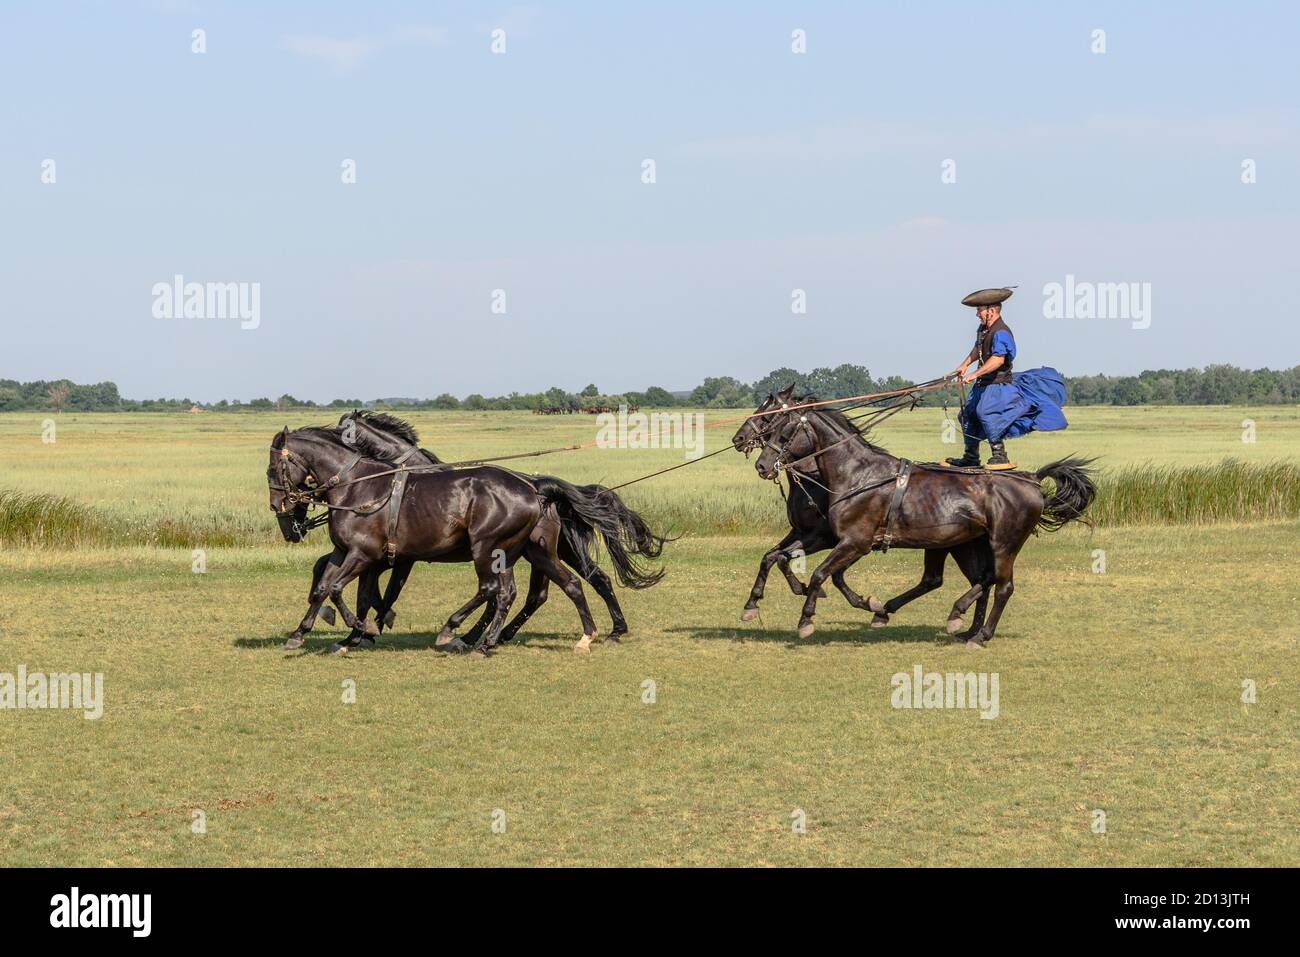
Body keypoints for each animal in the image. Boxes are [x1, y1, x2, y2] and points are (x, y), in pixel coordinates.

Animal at [748, 392, 1092, 647]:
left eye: (783, 431)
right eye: (770, 427)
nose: (762, 465)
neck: (857, 475)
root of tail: (1031, 479)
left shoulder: (854, 542)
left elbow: (822, 573)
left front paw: (806, 619)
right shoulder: (832, 539)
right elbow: (787, 560)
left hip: (1003, 543)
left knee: (1001, 586)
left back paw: (979, 634)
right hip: (963, 543)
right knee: (969, 579)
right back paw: (954, 622)